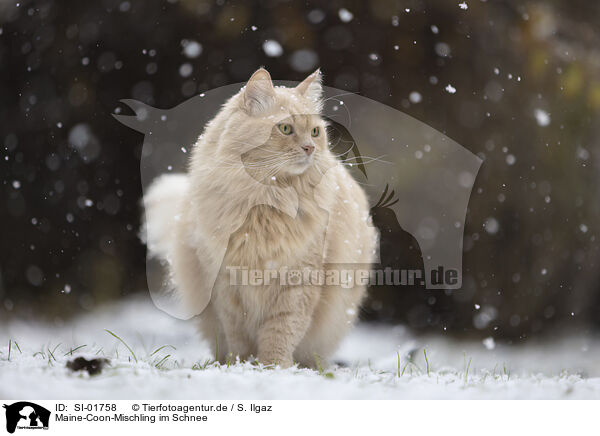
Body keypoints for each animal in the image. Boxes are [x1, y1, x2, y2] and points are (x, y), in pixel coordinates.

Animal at [143, 68, 378, 368]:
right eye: (285, 128)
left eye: (315, 132)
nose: (310, 148)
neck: (266, 204)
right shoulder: (226, 285)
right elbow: (238, 336)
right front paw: (240, 366)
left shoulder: (299, 281)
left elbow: (281, 332)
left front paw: (274, 367)